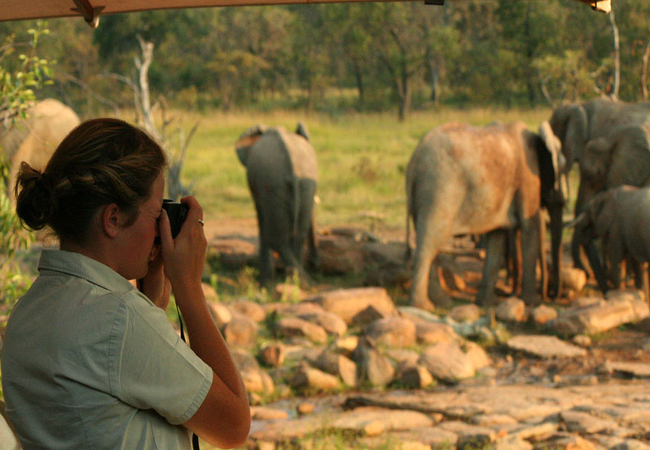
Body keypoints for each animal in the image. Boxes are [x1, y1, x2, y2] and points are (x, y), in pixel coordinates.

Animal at [237, 123, 320, 284]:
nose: (315, 262)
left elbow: (260, 215)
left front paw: (264, 281)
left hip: (272, 185)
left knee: (276, 238)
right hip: (301, 185)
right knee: (298, 233)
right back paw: (296, 281)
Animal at [404, 119, 560, 312]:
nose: (549, 296)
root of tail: (414, 159)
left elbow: (497, 237)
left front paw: (486, 303)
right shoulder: (527, 178)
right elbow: (529, 227)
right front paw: (532, 302)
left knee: (429, 241)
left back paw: (440, 303)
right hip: (439, 190)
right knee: (430, 242)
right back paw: (424, 306)